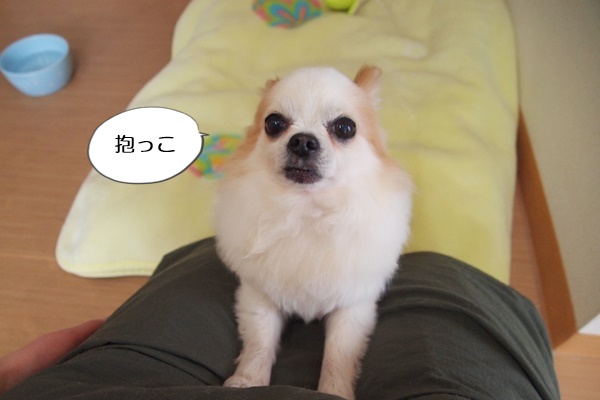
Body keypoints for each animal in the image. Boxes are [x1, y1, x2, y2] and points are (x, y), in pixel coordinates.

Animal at [215, 65, 412, 400]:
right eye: (274, 123)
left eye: (345, 128)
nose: (303, 141)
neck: (305, 212)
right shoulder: (259, 295)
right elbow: (259, 344)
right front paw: (247, 382)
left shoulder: (352, 306)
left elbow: (337, 356)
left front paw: (334, 392)